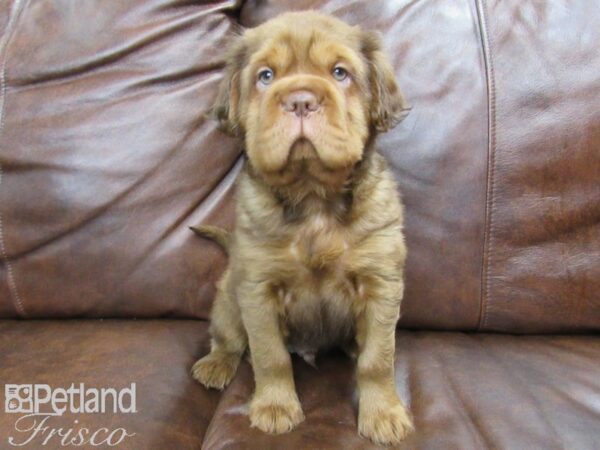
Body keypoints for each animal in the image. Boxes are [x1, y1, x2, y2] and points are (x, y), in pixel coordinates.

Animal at [192, 11, 412, 446]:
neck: (313, 200)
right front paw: (275, 406)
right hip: (228, 297)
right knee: (228, 338)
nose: (300, 101)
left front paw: (383, 414)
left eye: (340, 72)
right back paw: (216, 363)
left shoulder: (381, 284)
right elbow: (269, 355)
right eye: (265, 76)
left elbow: (378, 359)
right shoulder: (257, 288)